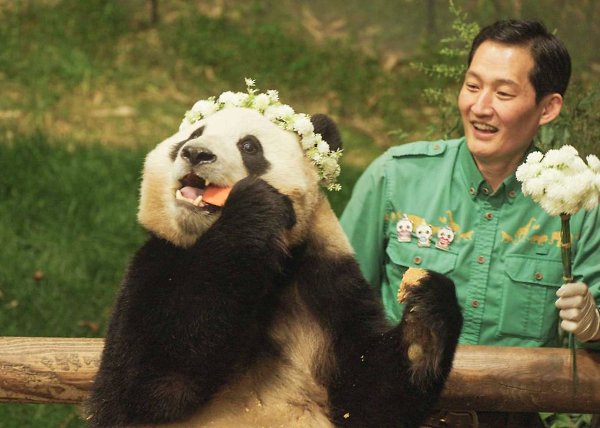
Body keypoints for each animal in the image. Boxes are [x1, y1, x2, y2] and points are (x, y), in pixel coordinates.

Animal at [87, 83, 463, 428]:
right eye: (193, 135)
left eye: (249, 146)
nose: (195, 153)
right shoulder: (156, 261)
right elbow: (145, 384)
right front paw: (256, 207)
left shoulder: (326, 281)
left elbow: (371, 399)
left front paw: (426, 313)